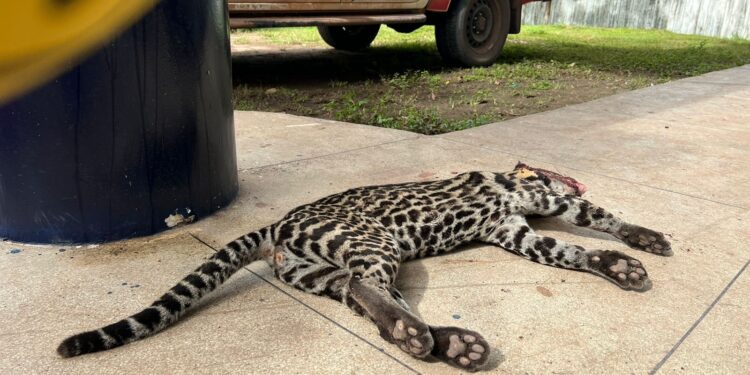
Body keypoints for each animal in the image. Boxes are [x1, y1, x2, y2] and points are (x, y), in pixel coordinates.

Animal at [55, 163, 672, 372]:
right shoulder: (547, 207)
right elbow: (601, 216)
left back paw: (445, 342)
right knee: (371, 289)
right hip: (374, 243)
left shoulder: (519, 233)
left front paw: (619, 262)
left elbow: (578, 252)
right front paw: (639, 240)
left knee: (366, 298)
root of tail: (279, 224)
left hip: (318, 271)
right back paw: (434, 338)